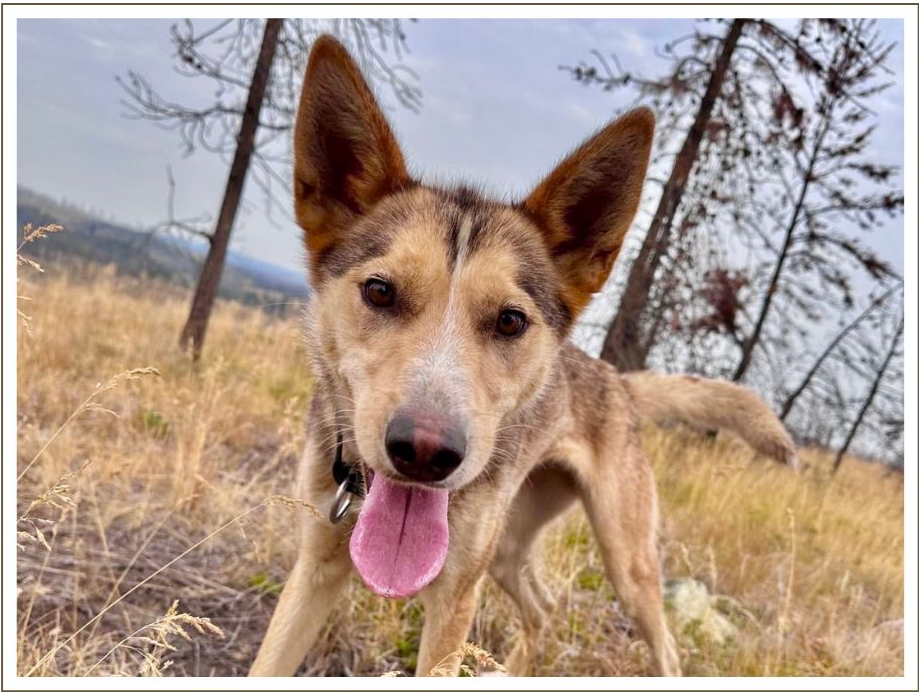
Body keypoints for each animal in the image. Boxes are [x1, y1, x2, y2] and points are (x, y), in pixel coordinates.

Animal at [246, 35, 796, 680]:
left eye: (510, 320)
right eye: (379, 291)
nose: (425, 453)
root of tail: (616, 379)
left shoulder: (455, 599)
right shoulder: (315, 569)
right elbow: (269, 660)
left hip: (624, 564)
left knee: (662, 644)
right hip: (507, 548)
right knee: (543, 607)